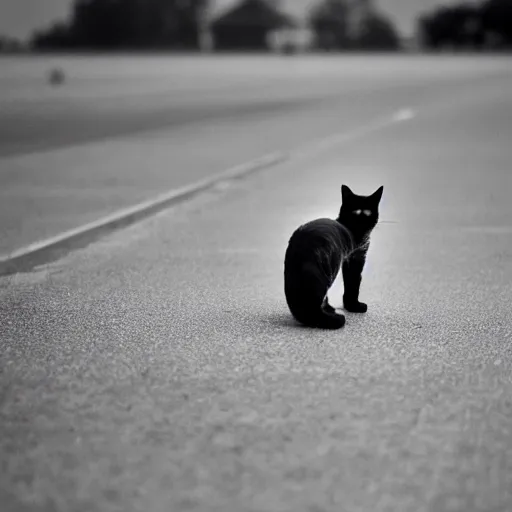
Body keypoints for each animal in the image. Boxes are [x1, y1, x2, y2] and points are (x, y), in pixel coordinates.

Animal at [286, 184, 382, 328]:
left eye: (367, 212)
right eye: (357, 212)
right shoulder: (355, 258)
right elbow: (353, 283)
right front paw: (353, 306)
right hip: (329, 269)